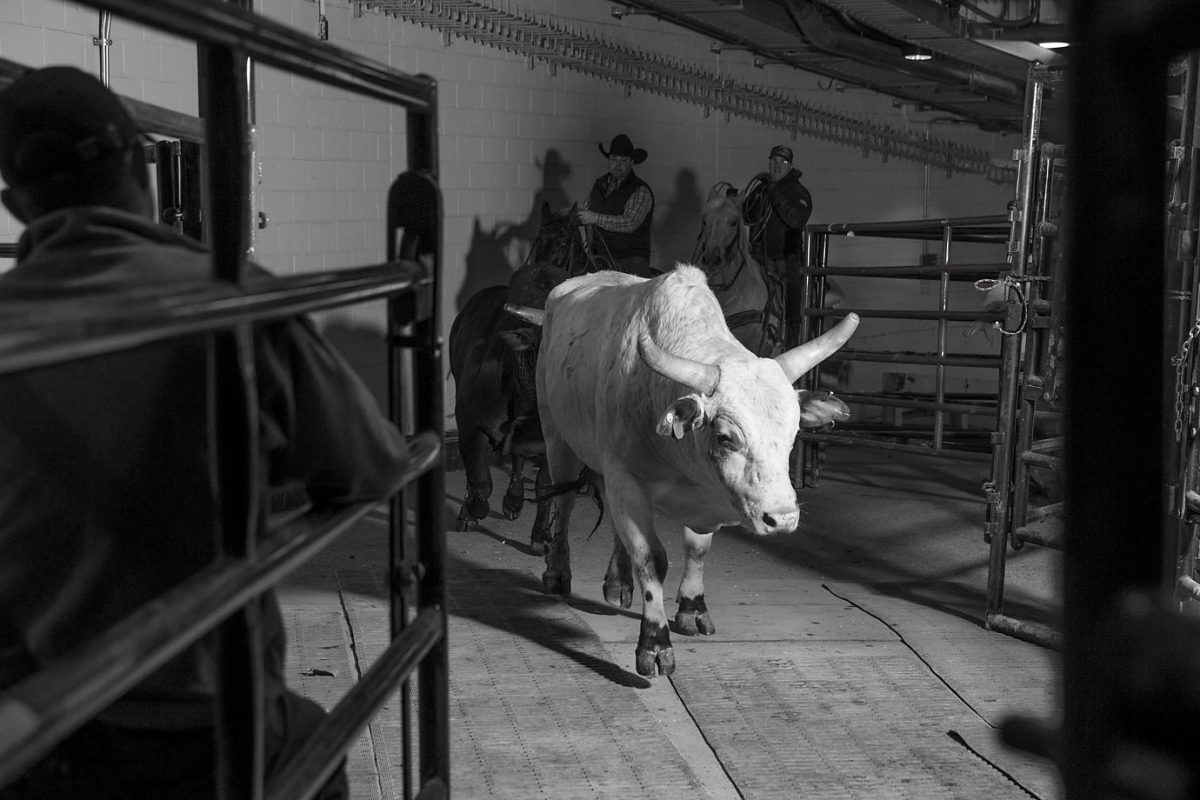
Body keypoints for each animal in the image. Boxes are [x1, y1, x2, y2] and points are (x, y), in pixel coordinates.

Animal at [448, 261, 568, 534]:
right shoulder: (468, 419)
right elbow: (480, 479)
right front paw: (473, 510)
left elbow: (545, 487)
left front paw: (541, 535)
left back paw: (513, 502)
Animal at [508, 264, 858, 676]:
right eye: (725, 437)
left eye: (793, 433)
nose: (782, 519)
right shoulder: (627, 479)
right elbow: (651, 558)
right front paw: (655, 643)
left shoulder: (696, 495)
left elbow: (697, 550)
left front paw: (692, 607)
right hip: (557, 436)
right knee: (563, 505)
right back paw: (558, 572)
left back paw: (618, 582)